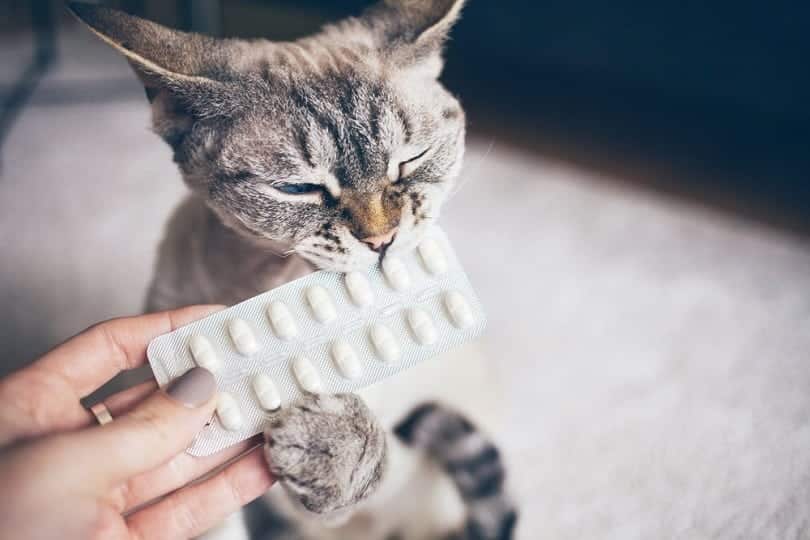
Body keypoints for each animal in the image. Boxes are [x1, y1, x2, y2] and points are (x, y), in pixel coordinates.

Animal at [68, 2, 512, 536]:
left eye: (412, 160)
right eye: (297, 189)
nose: (382, 240)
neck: (260, 288)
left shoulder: (333, 510)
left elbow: (365, 460)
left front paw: (328, 441)